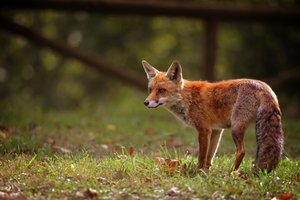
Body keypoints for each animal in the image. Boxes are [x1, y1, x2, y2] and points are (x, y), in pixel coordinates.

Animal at [142, 59, 284, 173]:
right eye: (150, 90)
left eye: (161, 90)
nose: (146, 102)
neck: (187, 98)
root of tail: (265, 87)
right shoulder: (216, 130)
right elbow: (210, 156)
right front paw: (206, 172)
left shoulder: (204, 130)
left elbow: (201, 156)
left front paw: (197, 173)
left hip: (236, 128)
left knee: (241, 151)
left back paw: (231, 173)